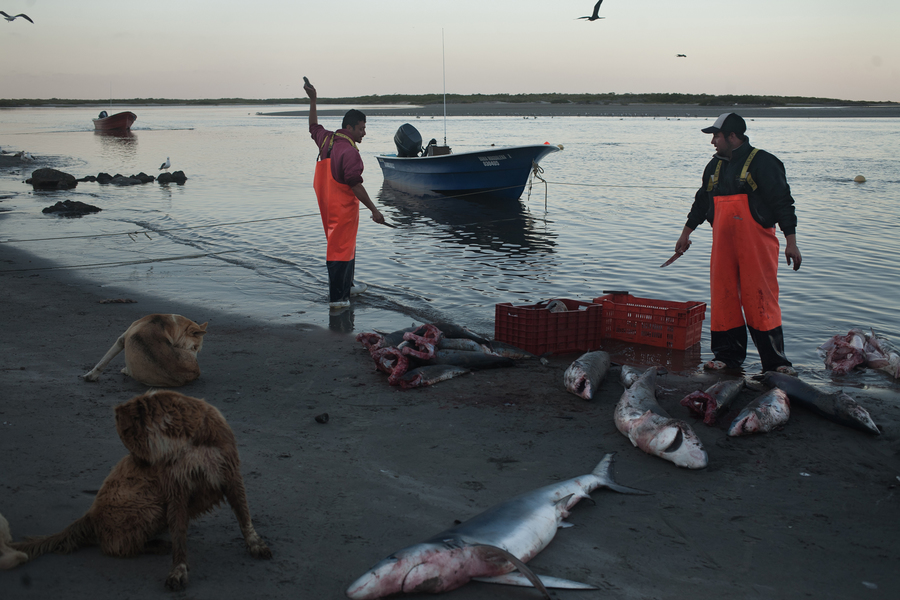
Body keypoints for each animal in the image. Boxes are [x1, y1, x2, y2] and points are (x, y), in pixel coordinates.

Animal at [9, 390, 270, 592]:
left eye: (125, 436)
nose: (137, 465)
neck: (184, 439)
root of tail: (89, 517)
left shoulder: (230, 474)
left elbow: (244, 516)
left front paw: (255, 544)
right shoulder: (177, 491)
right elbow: (179, 541)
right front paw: (178, 571)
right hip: (150, 508)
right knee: (118, 546)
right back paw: (157, 545)